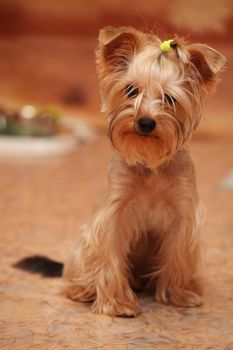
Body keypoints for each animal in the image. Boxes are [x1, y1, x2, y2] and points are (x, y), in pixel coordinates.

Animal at [14, 26, 224, 318]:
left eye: (169, 99)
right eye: (131, 90)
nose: (145, 122)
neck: (149, 161)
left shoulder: (182, 214)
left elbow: (177, 254)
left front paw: (177, 293)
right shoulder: (115, 212)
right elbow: (110, 254)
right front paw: (117, 303)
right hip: (84, 246)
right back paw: (82, 290)